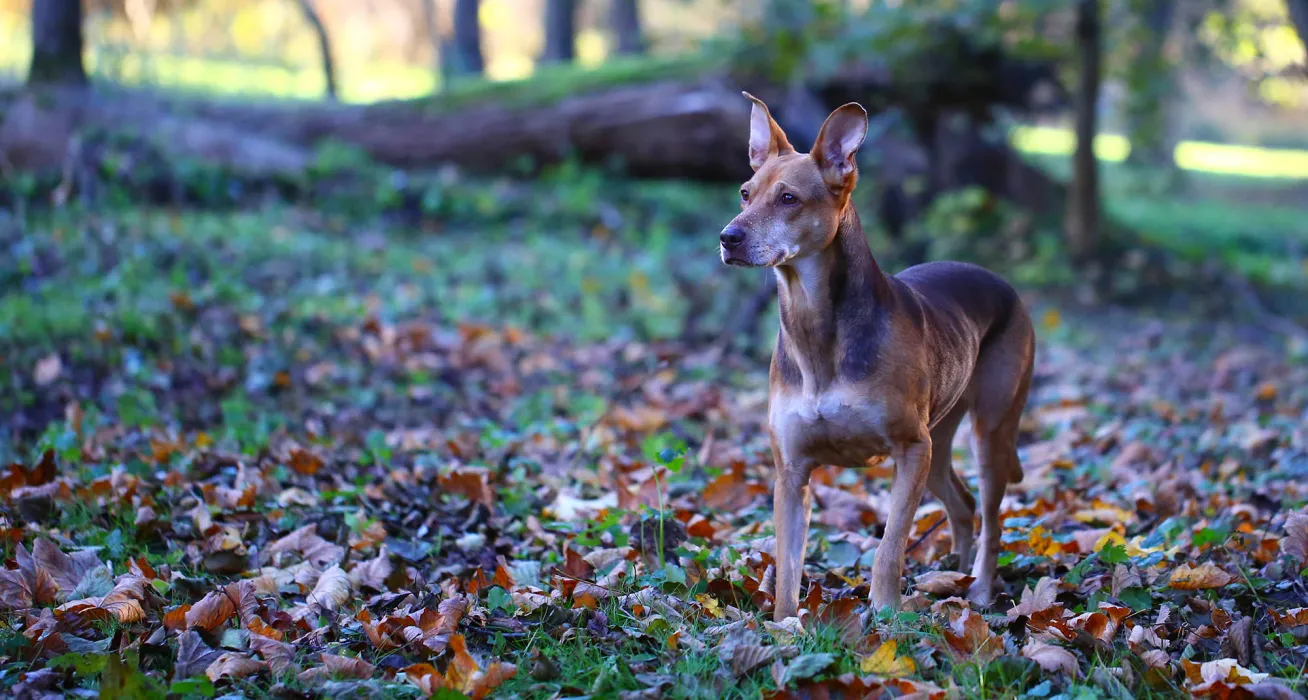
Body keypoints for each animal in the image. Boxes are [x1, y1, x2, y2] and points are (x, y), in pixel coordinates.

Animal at [716, 94, 1030, 625]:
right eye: (744, 193)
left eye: (788, 199)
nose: (728, 237)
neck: (815, 324)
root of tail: (1005, 286)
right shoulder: (791, 473)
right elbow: (788, 566)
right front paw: (784, 626)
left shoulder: (910, 449)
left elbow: (889, 547)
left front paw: (886, 616)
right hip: (940, 438)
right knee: (964, 504)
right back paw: (956, 573)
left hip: (988, 431)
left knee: (991, 516)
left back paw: (982, 589)